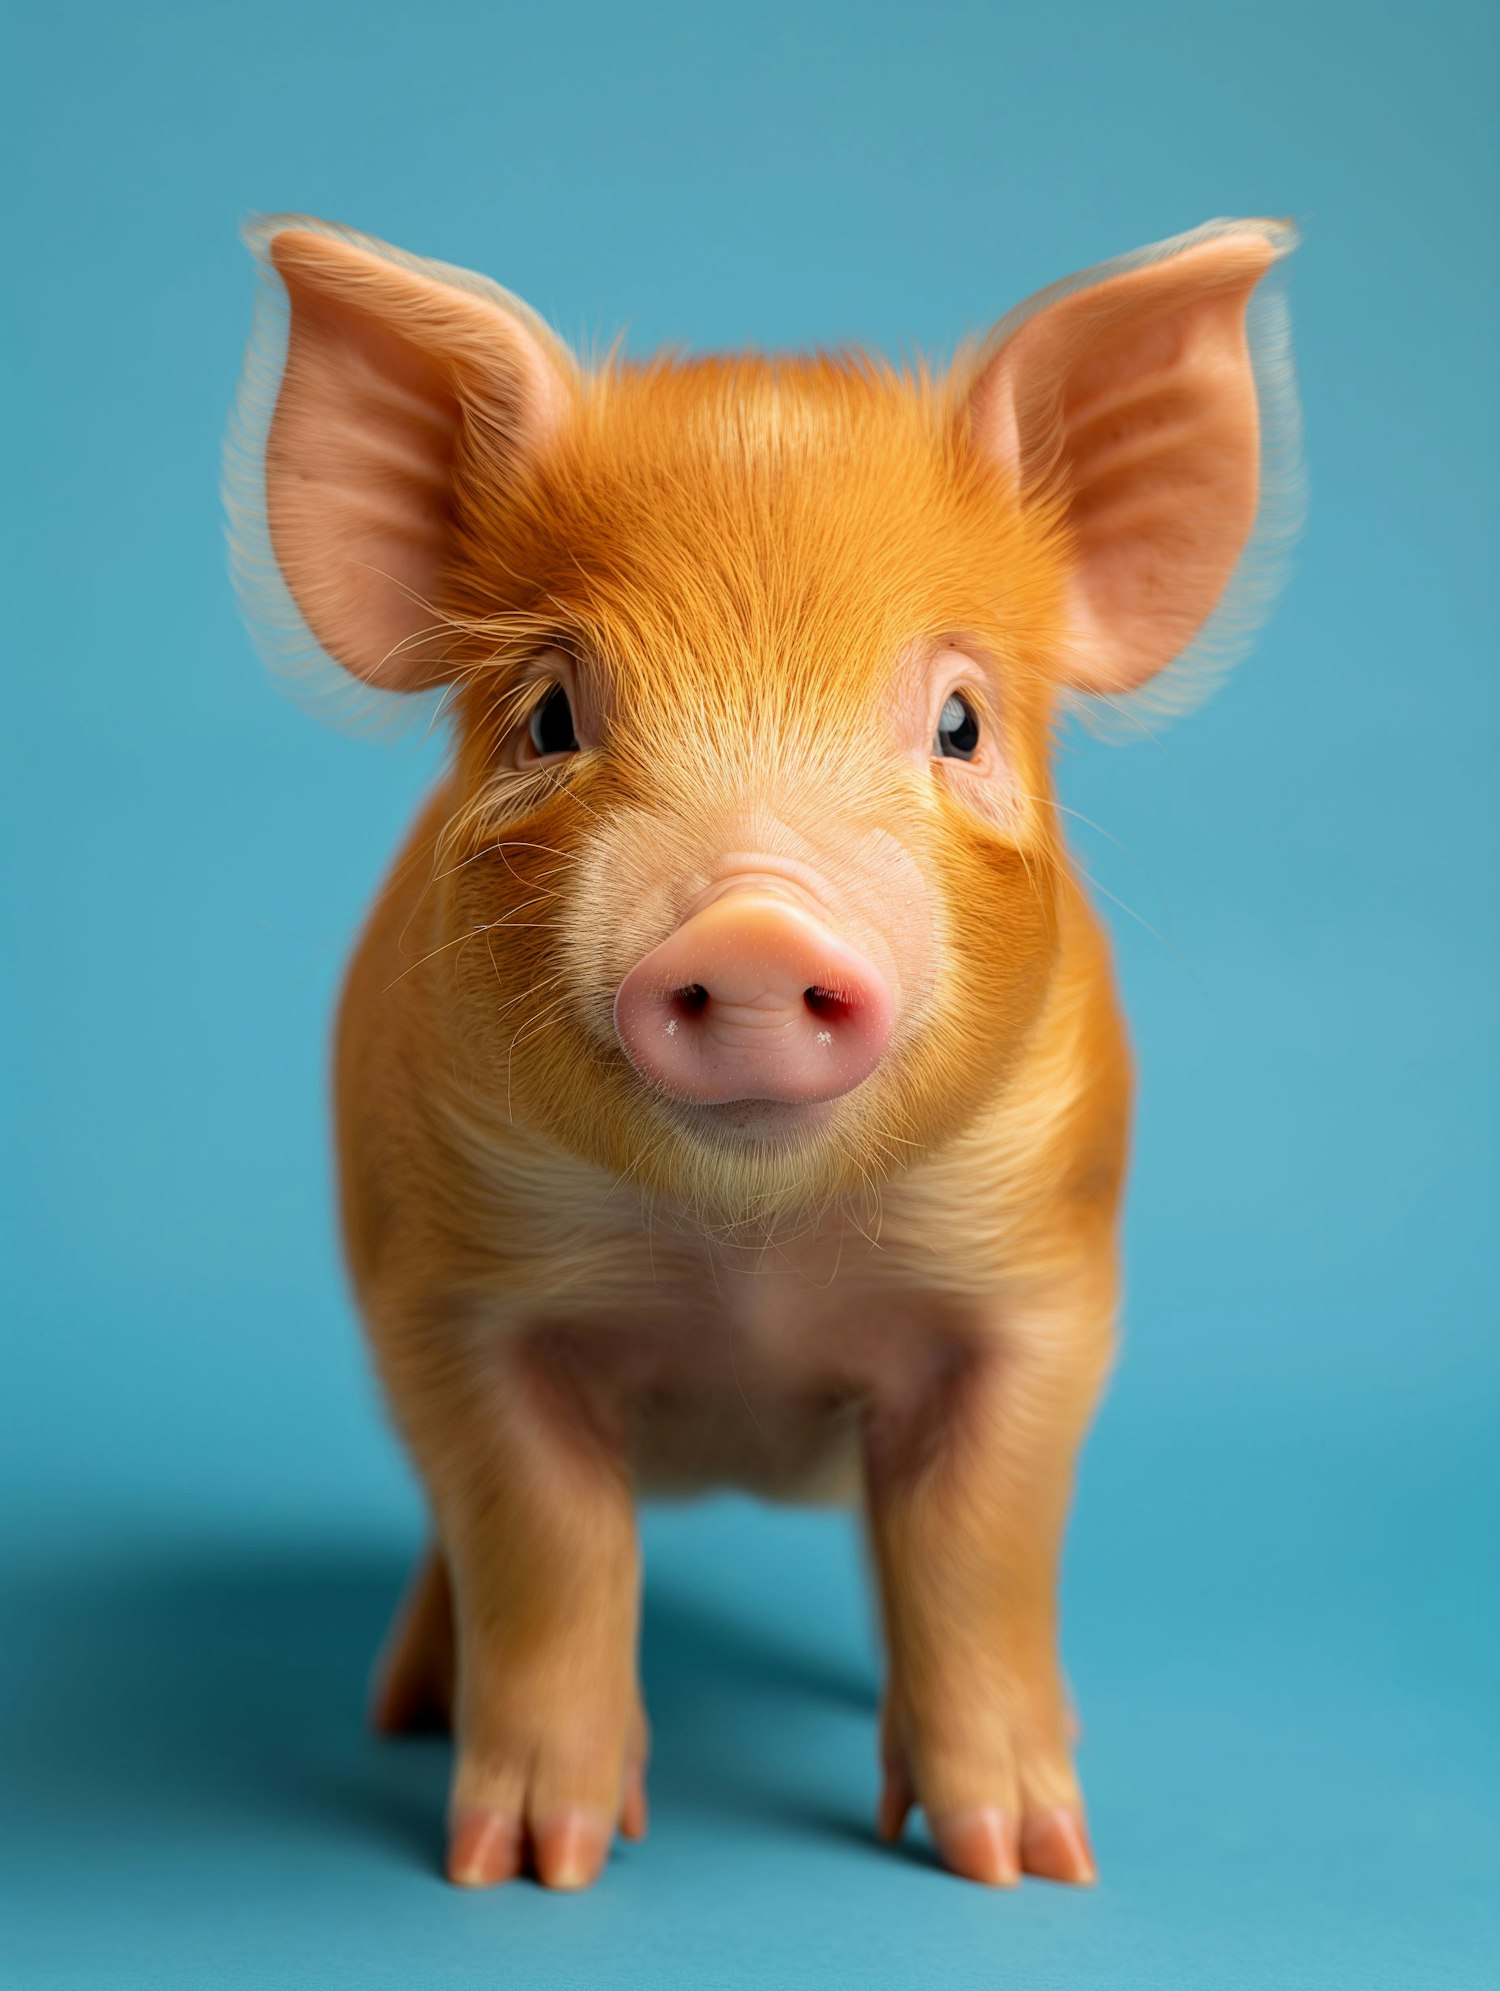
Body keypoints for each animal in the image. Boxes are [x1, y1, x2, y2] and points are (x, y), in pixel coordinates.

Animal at [225, 210, 1298, 1887]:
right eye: (550, 716)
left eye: (960, 721)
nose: (753, 922)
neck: (754, 1270)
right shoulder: (446, 1292)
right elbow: (544, 1542)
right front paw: (531, 1864)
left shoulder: (1043, 1282)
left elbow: (976, 1547)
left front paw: (1022, 1859)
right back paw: (403, 1708)